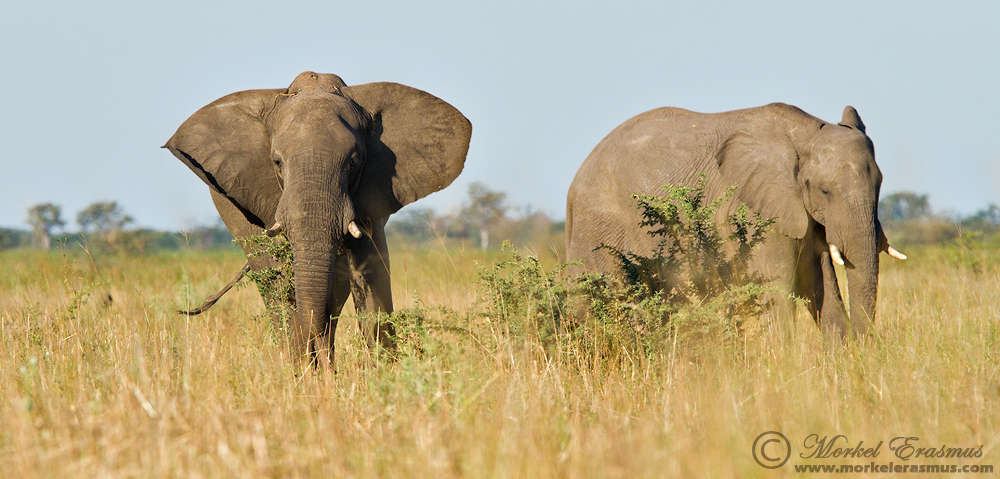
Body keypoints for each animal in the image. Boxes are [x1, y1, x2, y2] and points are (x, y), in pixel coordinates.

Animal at [164, 71, 472, 364]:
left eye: (353, 161)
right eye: (277, 162)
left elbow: (370, 270)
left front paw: (384, 372)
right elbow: (282, 280)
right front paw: (305, 371)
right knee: (273, 283)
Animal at [565, 103, 905, 338]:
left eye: (880, 185)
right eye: (824, 191)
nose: (866, 348)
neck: (805, 132)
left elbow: (821, 286)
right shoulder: (756, 213)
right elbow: (778, 293)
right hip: (601, 230)